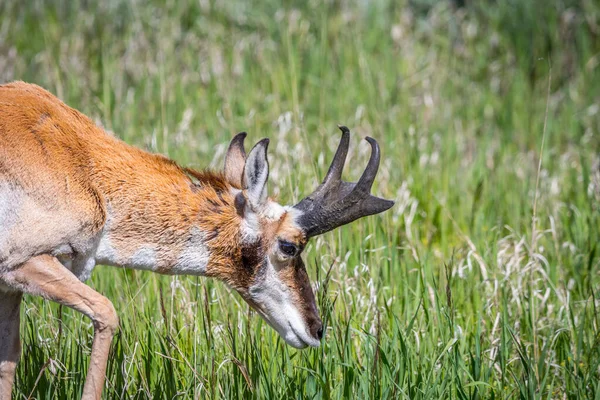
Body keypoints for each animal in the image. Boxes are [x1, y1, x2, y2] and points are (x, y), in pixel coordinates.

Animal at [0, 82, 394, 400]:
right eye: (289, 245)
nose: (317, 330)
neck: (84, 164)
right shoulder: (23, 263)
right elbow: (107, 313)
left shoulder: (11, 288)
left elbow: (9, 359)